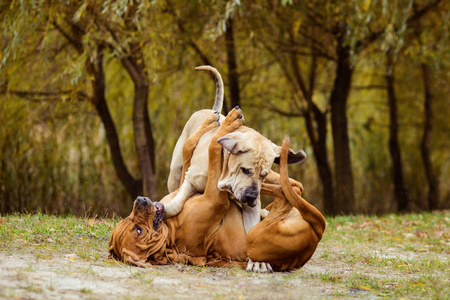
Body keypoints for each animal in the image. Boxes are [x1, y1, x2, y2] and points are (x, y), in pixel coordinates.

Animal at [165, 65, 306, 234]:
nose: (251, 197)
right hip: (175, 171)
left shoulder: (251, 206)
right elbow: (175, 205)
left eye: (263, 175)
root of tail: (210, 110)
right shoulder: (190, 180)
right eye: (245, 170)